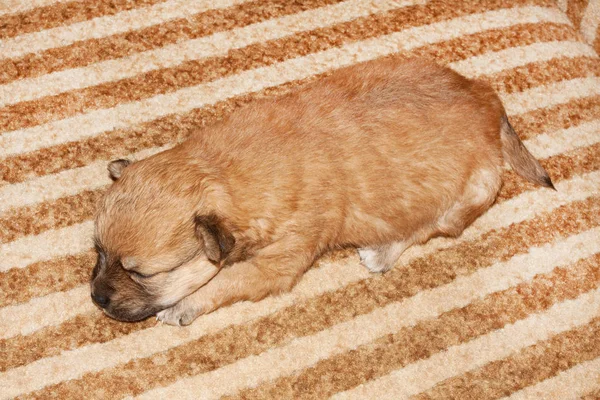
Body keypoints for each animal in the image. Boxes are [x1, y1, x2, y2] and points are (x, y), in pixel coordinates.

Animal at [89, 57, 552, 324]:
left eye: (141, 274)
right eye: (98, 251)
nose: (96, 298)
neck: (220, 171)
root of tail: (487, 98)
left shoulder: (277, 263)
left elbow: (225, 281)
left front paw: (181, 307)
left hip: (470, 194)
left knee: (427, 228)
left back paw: (382, 252)